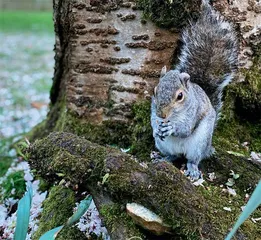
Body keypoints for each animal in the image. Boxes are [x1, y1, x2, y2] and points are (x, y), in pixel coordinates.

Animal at [150, 0, 238, 180]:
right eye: (155, 91)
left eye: (180, 96)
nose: (162, 115)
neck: (173, 116)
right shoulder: (153, 110)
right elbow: (153, 120)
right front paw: (156, 128)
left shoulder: (193, 113)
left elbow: (185, 129)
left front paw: (171, 128)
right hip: (162, 145)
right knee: (174, 156)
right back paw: (164, 158)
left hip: (199, 144)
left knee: (192, 159)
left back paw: (192, 169)